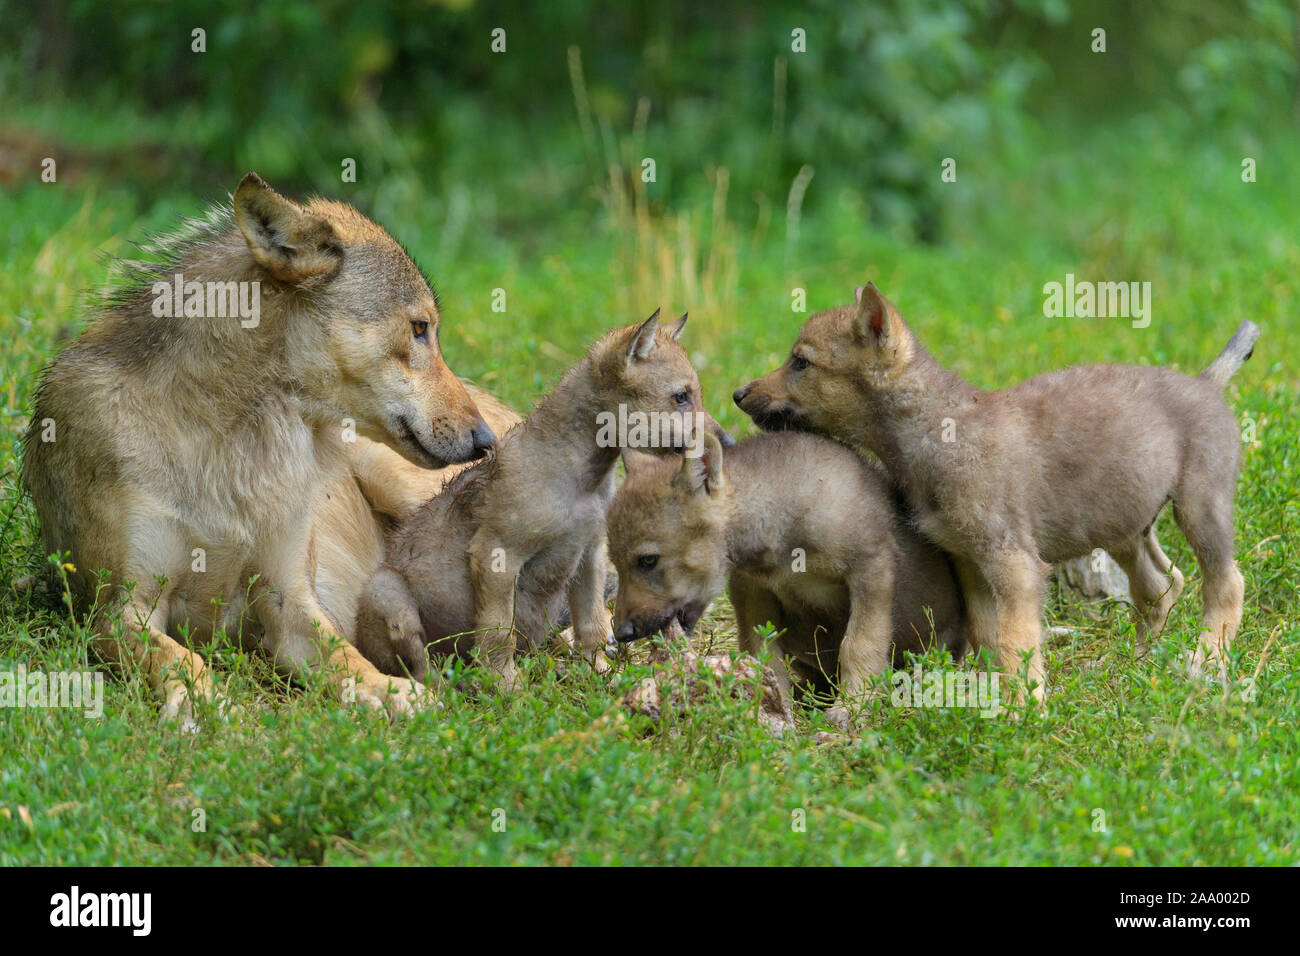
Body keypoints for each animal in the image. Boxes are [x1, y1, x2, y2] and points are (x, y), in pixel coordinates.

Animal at [22, 173, 498, 727]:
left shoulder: (288, 599)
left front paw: (392, 691)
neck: (231, 441)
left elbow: (346, 657)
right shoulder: (119, 611)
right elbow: (180, 657)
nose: (486, 441)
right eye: (420, 329)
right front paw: (204, 701)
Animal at [354, 310, 730, 692]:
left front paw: (601, 676)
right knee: (419, 667)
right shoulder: (496, 555)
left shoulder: (590, 555)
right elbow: (497, 633)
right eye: (681, 397)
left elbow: (592, 625)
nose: (727, 442)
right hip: (390, 596)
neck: (583, 478)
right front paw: (505, 688)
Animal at [607, 431, 965, 725]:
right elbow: (764, 657)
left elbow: (859, 644)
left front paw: (851, 708)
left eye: (648, 560)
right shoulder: (752, 591)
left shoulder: (872, 568)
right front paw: (769, 710)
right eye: (615, 562)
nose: (621, 633)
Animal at [734, 282, 1259, 698]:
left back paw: (1205, 663)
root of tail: (1207, 382)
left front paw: (1027, 712)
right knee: (1161, 586)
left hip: (1200, 508)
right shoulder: (969, 561)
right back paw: (1138, 667)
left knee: (1226, 584)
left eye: (801, 362)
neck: (934, 433)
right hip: (1124, 525)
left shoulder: (1014, 565)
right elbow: (989, 640)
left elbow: (1015, 645)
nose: (738, 394)